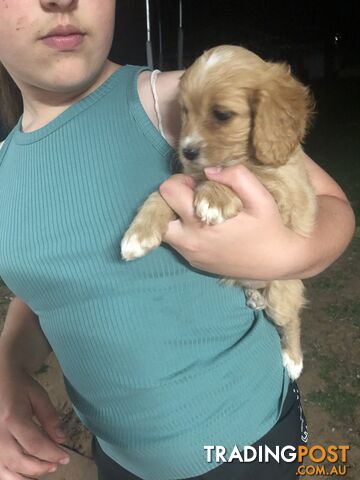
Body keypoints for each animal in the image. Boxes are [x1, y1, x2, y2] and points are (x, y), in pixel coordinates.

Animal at [121, 46, 318, 382]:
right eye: (184, 110)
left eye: (222, 115)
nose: (186, 151)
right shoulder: (186, 180)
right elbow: (160, 194)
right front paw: (139, 235)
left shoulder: (287, 193)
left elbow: (243, 174)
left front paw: (214, 196)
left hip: (283, 294)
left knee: (291, 320)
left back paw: (293, 360)